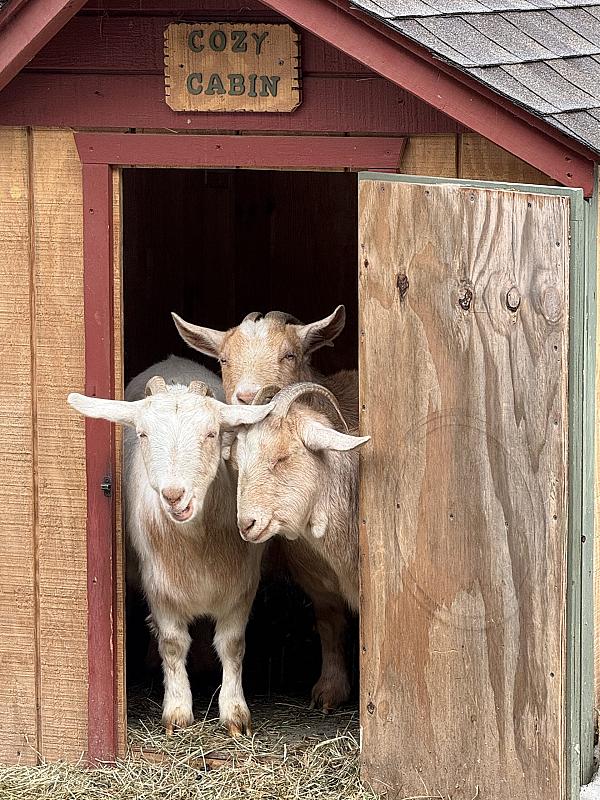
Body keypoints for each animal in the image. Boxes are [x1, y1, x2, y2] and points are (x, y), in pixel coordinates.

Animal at [67, 368, 272, 735]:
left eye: (211, 433)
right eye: (143, 433)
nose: (175, 495)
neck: (196, 542)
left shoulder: (242, 586)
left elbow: (232, 644)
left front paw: (235, 714)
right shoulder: (159, 587)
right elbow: (173, 643)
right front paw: (177, 712)